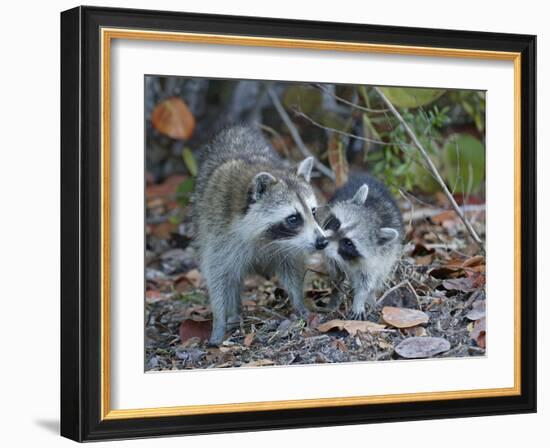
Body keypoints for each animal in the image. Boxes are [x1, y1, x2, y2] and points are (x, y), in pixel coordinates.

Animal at [194, 124, 328, 344]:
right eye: (293, 218)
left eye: (313, 211)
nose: (322, 242)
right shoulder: (218, 233)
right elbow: (218, 277)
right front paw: (219, 321)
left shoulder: (290, 245)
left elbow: (291, 268)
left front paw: (298, 302)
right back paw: (234, 314)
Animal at [324, 172, 406, 318]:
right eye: (337, 224)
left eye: (348, 243)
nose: (321, 241)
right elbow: (334, 271)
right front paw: (336, 290)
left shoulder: (378, 257)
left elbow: (367, 281)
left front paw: (360, 299)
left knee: (381, 275)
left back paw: (371, 298)